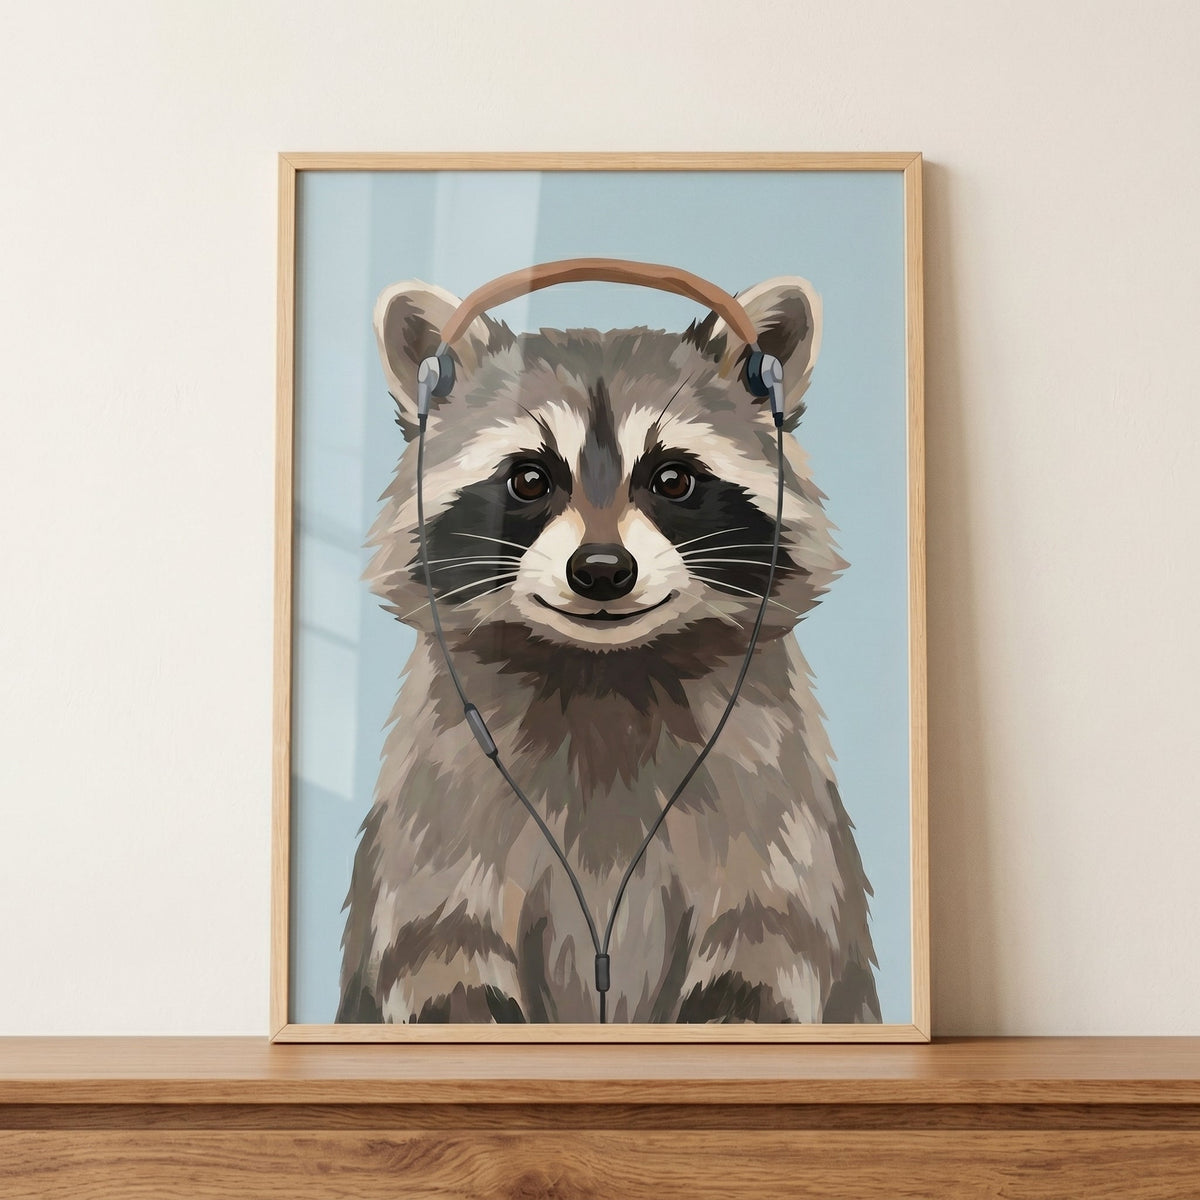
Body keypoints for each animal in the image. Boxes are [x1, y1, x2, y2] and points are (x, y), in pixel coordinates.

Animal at [336, 275, 880, 1025]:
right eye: (530, 479)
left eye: (673, 479)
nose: (600, 570)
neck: (603, 674)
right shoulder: (440, 803)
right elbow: (442, 958)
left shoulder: (772, 792)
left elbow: (767, 949)